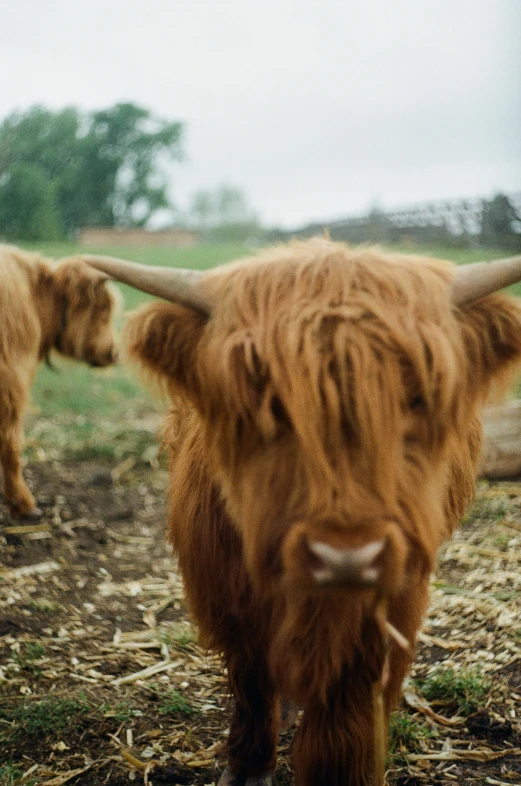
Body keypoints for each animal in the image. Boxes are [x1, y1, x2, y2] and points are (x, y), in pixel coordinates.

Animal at [85, 240, 520, 784]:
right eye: (265, 401)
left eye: (416, 398)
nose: (346, 556)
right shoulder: (229, 596)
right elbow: (252, 681)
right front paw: (248, 765)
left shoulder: (392, 602)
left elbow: (345, 711)